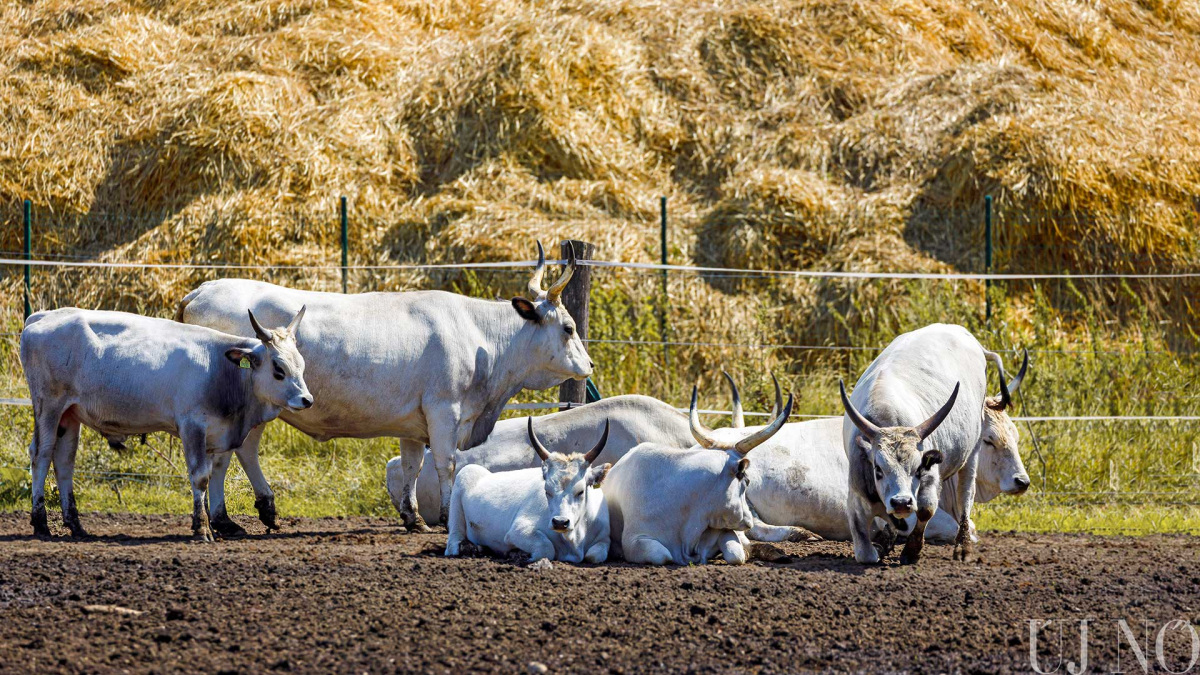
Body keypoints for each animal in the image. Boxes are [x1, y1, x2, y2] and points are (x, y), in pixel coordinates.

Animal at [19, 307, 309, 538]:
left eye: (302, 366)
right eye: (278, 369)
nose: (307, 399)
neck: (222, 369)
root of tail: (41, 317)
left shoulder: (217, 434)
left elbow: (213, 474)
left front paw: (213, 522)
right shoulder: (192, 427)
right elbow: (200, 477)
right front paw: (201, 528)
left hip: (70, 414)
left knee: (64, 463)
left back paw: (76, 525)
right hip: (49, 406)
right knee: (41, 456)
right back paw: (41, 523)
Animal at [176, 240, 590, 530]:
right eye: (569, 328)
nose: (588, 365)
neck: (480, 337)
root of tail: (203, 289)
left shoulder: (415, 421)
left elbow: (411, 466)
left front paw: (413, 517)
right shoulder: (444, 411)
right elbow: (446, 465)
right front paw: (445, 516)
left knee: (237, 453)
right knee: (231, 455)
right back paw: (230, 517)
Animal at [448, 415, 614, 562]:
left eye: (580, 491)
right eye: (547, 491)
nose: (560, 522)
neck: (574, 540)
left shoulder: (604, 538)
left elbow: (594, 556)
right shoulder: (518, 530)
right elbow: (546, 548)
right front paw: (518, 554)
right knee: (454, 540)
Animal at [604, 384, 792, 562]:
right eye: (747, 481)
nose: (748, 521)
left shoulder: (724, 531)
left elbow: (735, 554)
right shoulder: (635, 541)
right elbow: (662, 555)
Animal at [835, 319, 993, 562]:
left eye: (918, 468)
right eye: (878, 469)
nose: (901, 502)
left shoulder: (930, 477)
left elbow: (926, 509)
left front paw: (911, 551)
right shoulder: (856, 497)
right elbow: (867, 553)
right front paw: (884, 543)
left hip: (973, 450)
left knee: (966, 494)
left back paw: (963, 547)